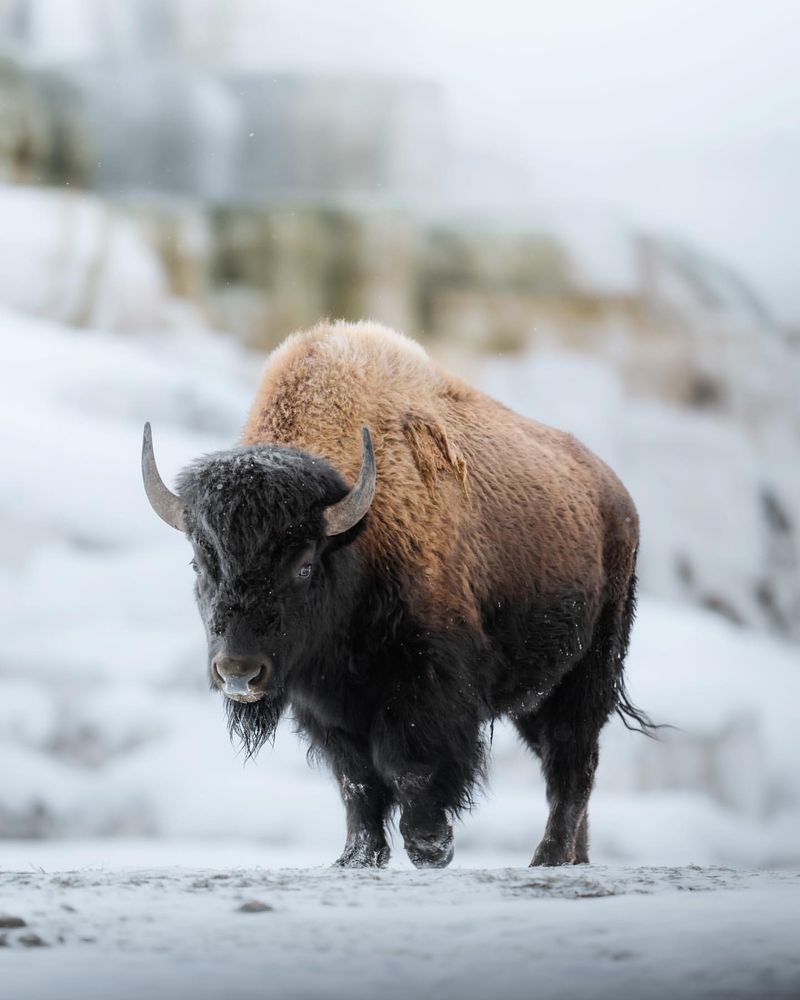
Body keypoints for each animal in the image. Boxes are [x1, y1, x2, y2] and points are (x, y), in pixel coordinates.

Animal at [142, 322, 648, 868]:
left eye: (303, 565)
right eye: (200, 563)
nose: (239, 672)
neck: (356, 537)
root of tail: (616, 498)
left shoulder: (425, 684)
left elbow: (411, 766)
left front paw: (431, 847)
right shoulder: (326, 708)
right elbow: (357, 781)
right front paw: (356, 858)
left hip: (588, 672)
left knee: (572, 762)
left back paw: (548, 857)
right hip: (535, 695)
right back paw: (575, 857)